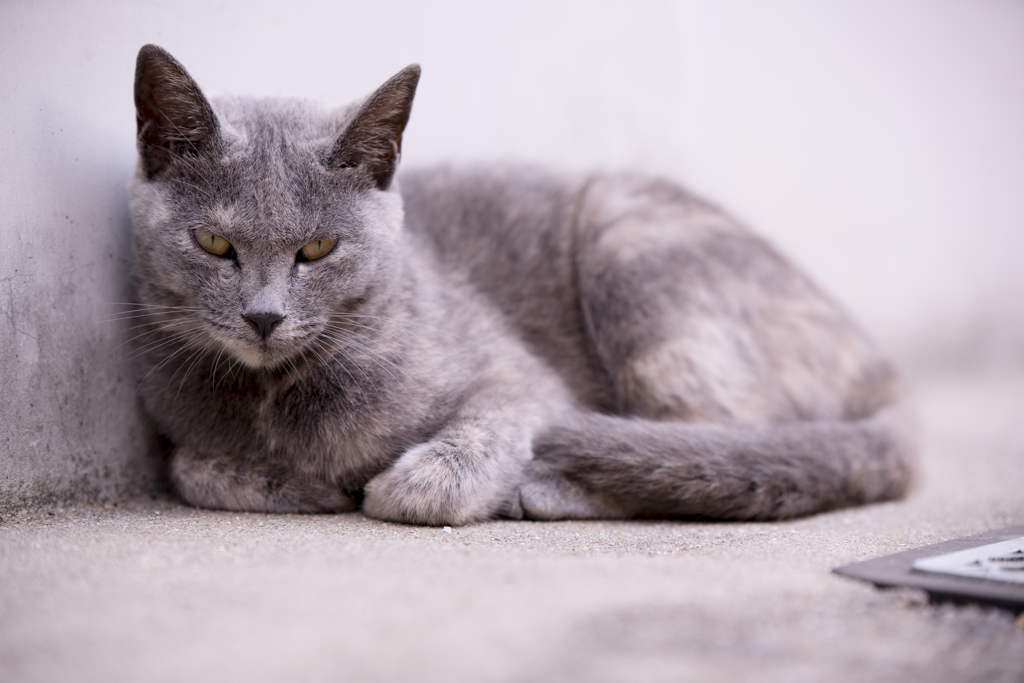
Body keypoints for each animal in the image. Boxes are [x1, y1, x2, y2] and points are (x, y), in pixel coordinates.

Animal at [125, 45, 913, 528]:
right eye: (214, 243)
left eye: (318, 248)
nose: (263, 316)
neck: (274, 395)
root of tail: (881, 368)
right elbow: (189, 467)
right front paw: (295, 482)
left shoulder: (520, 381)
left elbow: (487, 433)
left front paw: (409, 484)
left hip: (628, 243)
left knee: (718, 448)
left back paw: (541, 488)